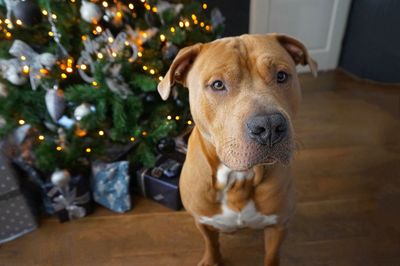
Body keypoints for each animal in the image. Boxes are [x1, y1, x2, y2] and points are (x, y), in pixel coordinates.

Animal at [158, 33, 318, 266]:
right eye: (217, 84)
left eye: (281, 76)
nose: (269, 125)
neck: (238, 177)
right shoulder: (203, 222)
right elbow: (211, 244)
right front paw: (211, 260)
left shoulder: (278, 226)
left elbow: (271, 255)